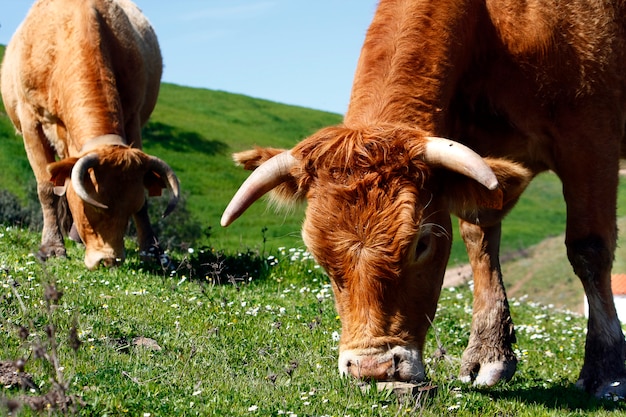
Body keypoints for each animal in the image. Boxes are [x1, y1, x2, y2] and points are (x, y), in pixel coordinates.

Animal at [1, 0, 178, 268]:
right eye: (90, 206)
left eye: (133, 205)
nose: (109, 260)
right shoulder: (30, 120)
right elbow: (47, 188)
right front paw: (52, 247)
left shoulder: (133, 117)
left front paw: (152, 251)